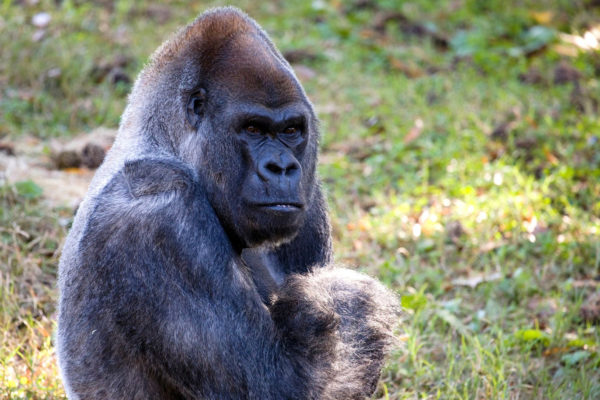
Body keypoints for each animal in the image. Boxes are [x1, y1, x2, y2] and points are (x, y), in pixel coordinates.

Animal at [57, 7, 398, 400]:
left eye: (291, 130)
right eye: (252, 129)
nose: (282, 168)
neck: (164, 142)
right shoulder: (159, 209)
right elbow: (281, 384)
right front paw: (349, 299)